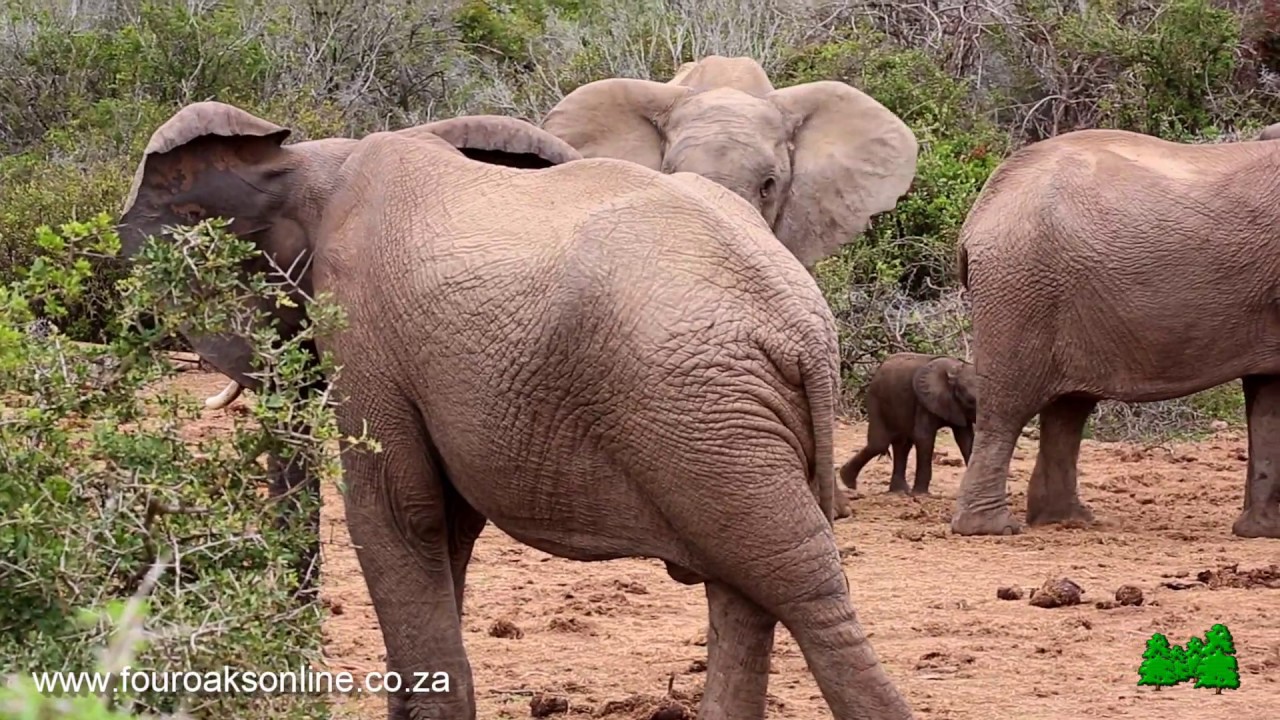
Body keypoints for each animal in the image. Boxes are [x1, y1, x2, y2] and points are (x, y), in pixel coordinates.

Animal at [117, 101, 914, 720]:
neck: (312, 161)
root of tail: (802, 325)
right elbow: (447, 526)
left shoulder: (366, 329)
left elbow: (398, 513)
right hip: (722, 417)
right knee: (746, 583)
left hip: (703, 407)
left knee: (798, 583)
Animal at [840, 353, 976, 495]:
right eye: (970, 401)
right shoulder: (924, 402)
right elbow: (924, 437)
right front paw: (921, 495)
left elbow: (965, 439)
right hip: (876, 399)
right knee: (880, 444)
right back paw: (847, 481)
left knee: (902, 445)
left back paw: (900, 490)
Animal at [950, 127, 1280, 538]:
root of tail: (978, 214)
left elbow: (1268, 398)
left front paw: (1261, 532)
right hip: (1019, 287)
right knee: (1008, 405)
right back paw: (991, 528)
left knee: (1068, 409)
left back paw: (1066, 519)